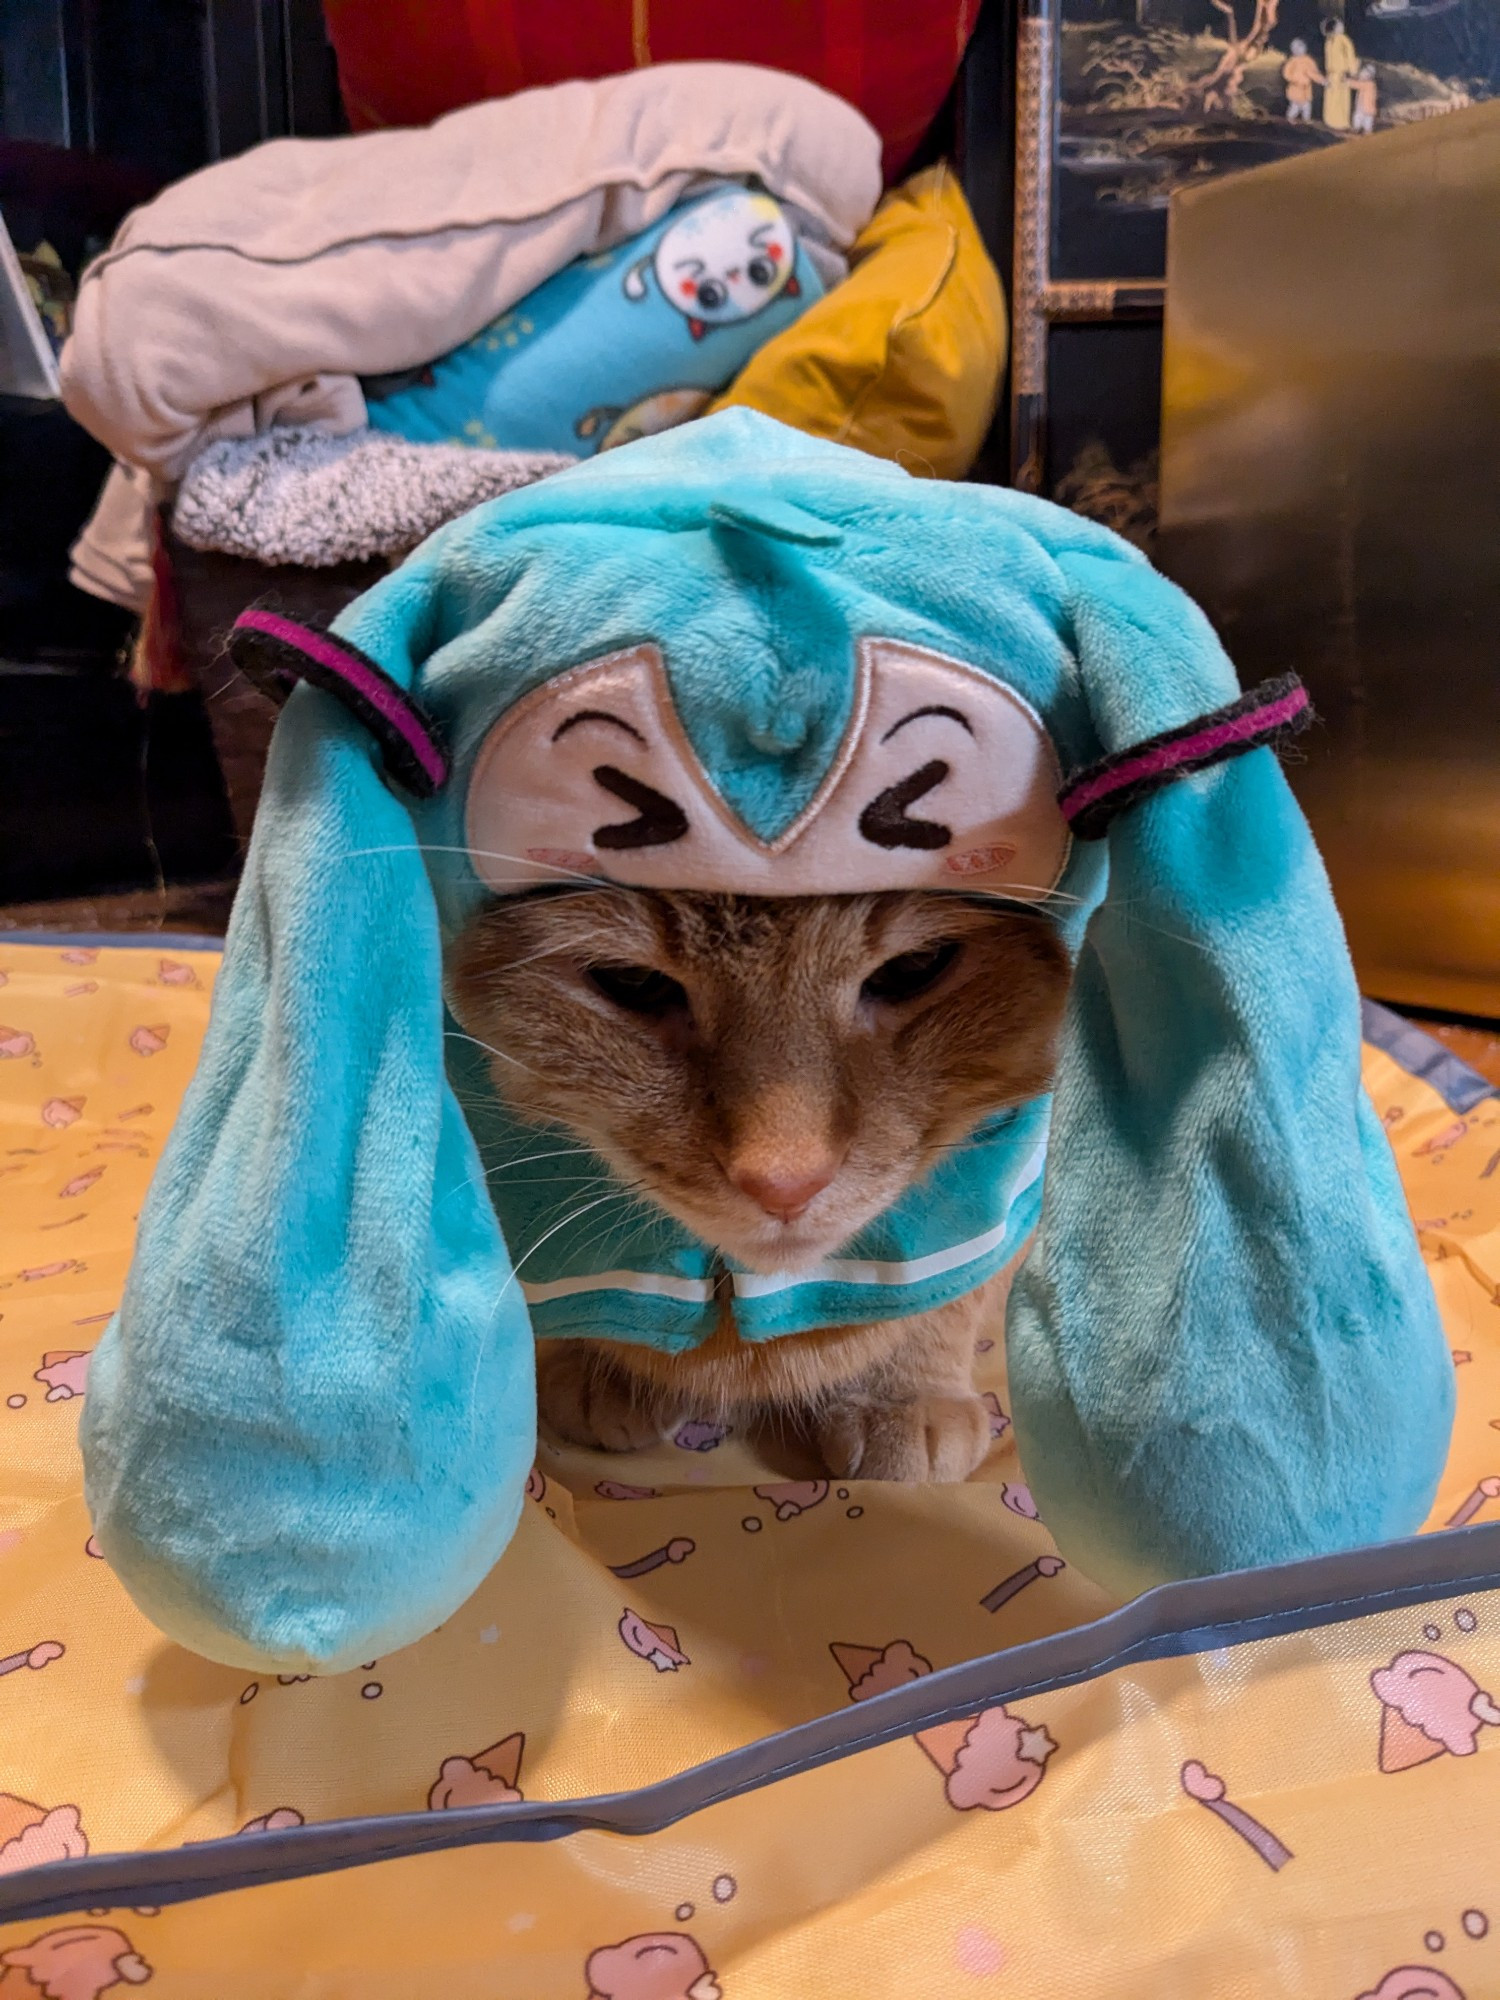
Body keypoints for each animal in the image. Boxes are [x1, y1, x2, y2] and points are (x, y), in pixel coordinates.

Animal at [446, 892, 1072, 1488]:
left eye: (914, 967)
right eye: (633, 980)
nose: (786, 1182)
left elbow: (956, 1289)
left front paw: (905, 1393)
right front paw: (609, 1368)